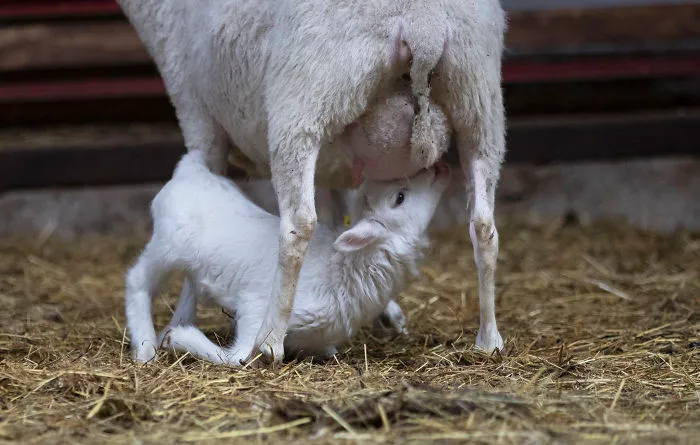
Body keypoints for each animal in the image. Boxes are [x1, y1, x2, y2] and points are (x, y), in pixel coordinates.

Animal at [125, 152, 450, 364]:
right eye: (400, 198)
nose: (438, 166)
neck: (343, 269)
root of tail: (190, 170)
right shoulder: (257, 312)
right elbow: (236, 358)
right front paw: (181, 339)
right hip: (167, 245)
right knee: (137, 281)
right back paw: (145, 347)